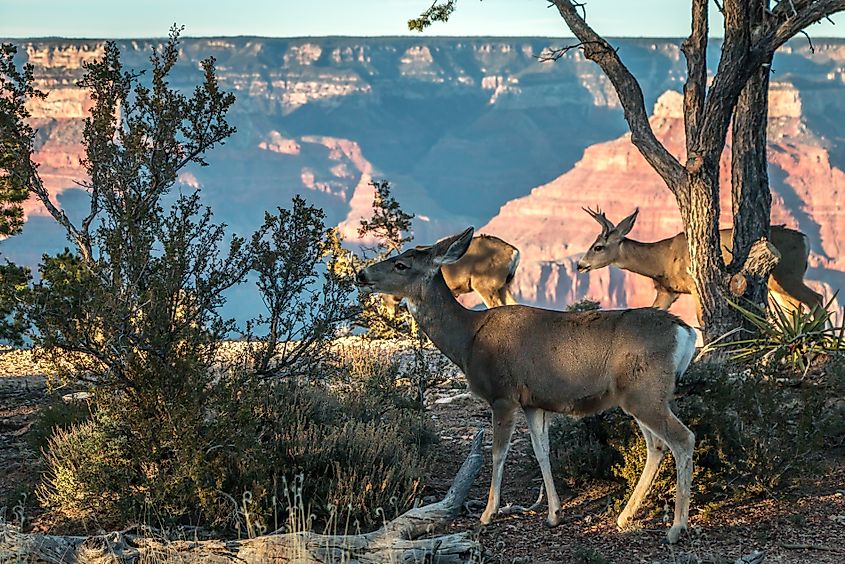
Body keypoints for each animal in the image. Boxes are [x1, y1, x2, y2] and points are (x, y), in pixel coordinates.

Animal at [577, 208, 823, 318]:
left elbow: (702, 321)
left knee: (816, 299)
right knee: (796, 308)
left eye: (598, 246)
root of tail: (805, 240)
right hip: (778, 286)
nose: (580, 265)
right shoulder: (668, 291)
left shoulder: (696, 284)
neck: (661, 259)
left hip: (788, 275)